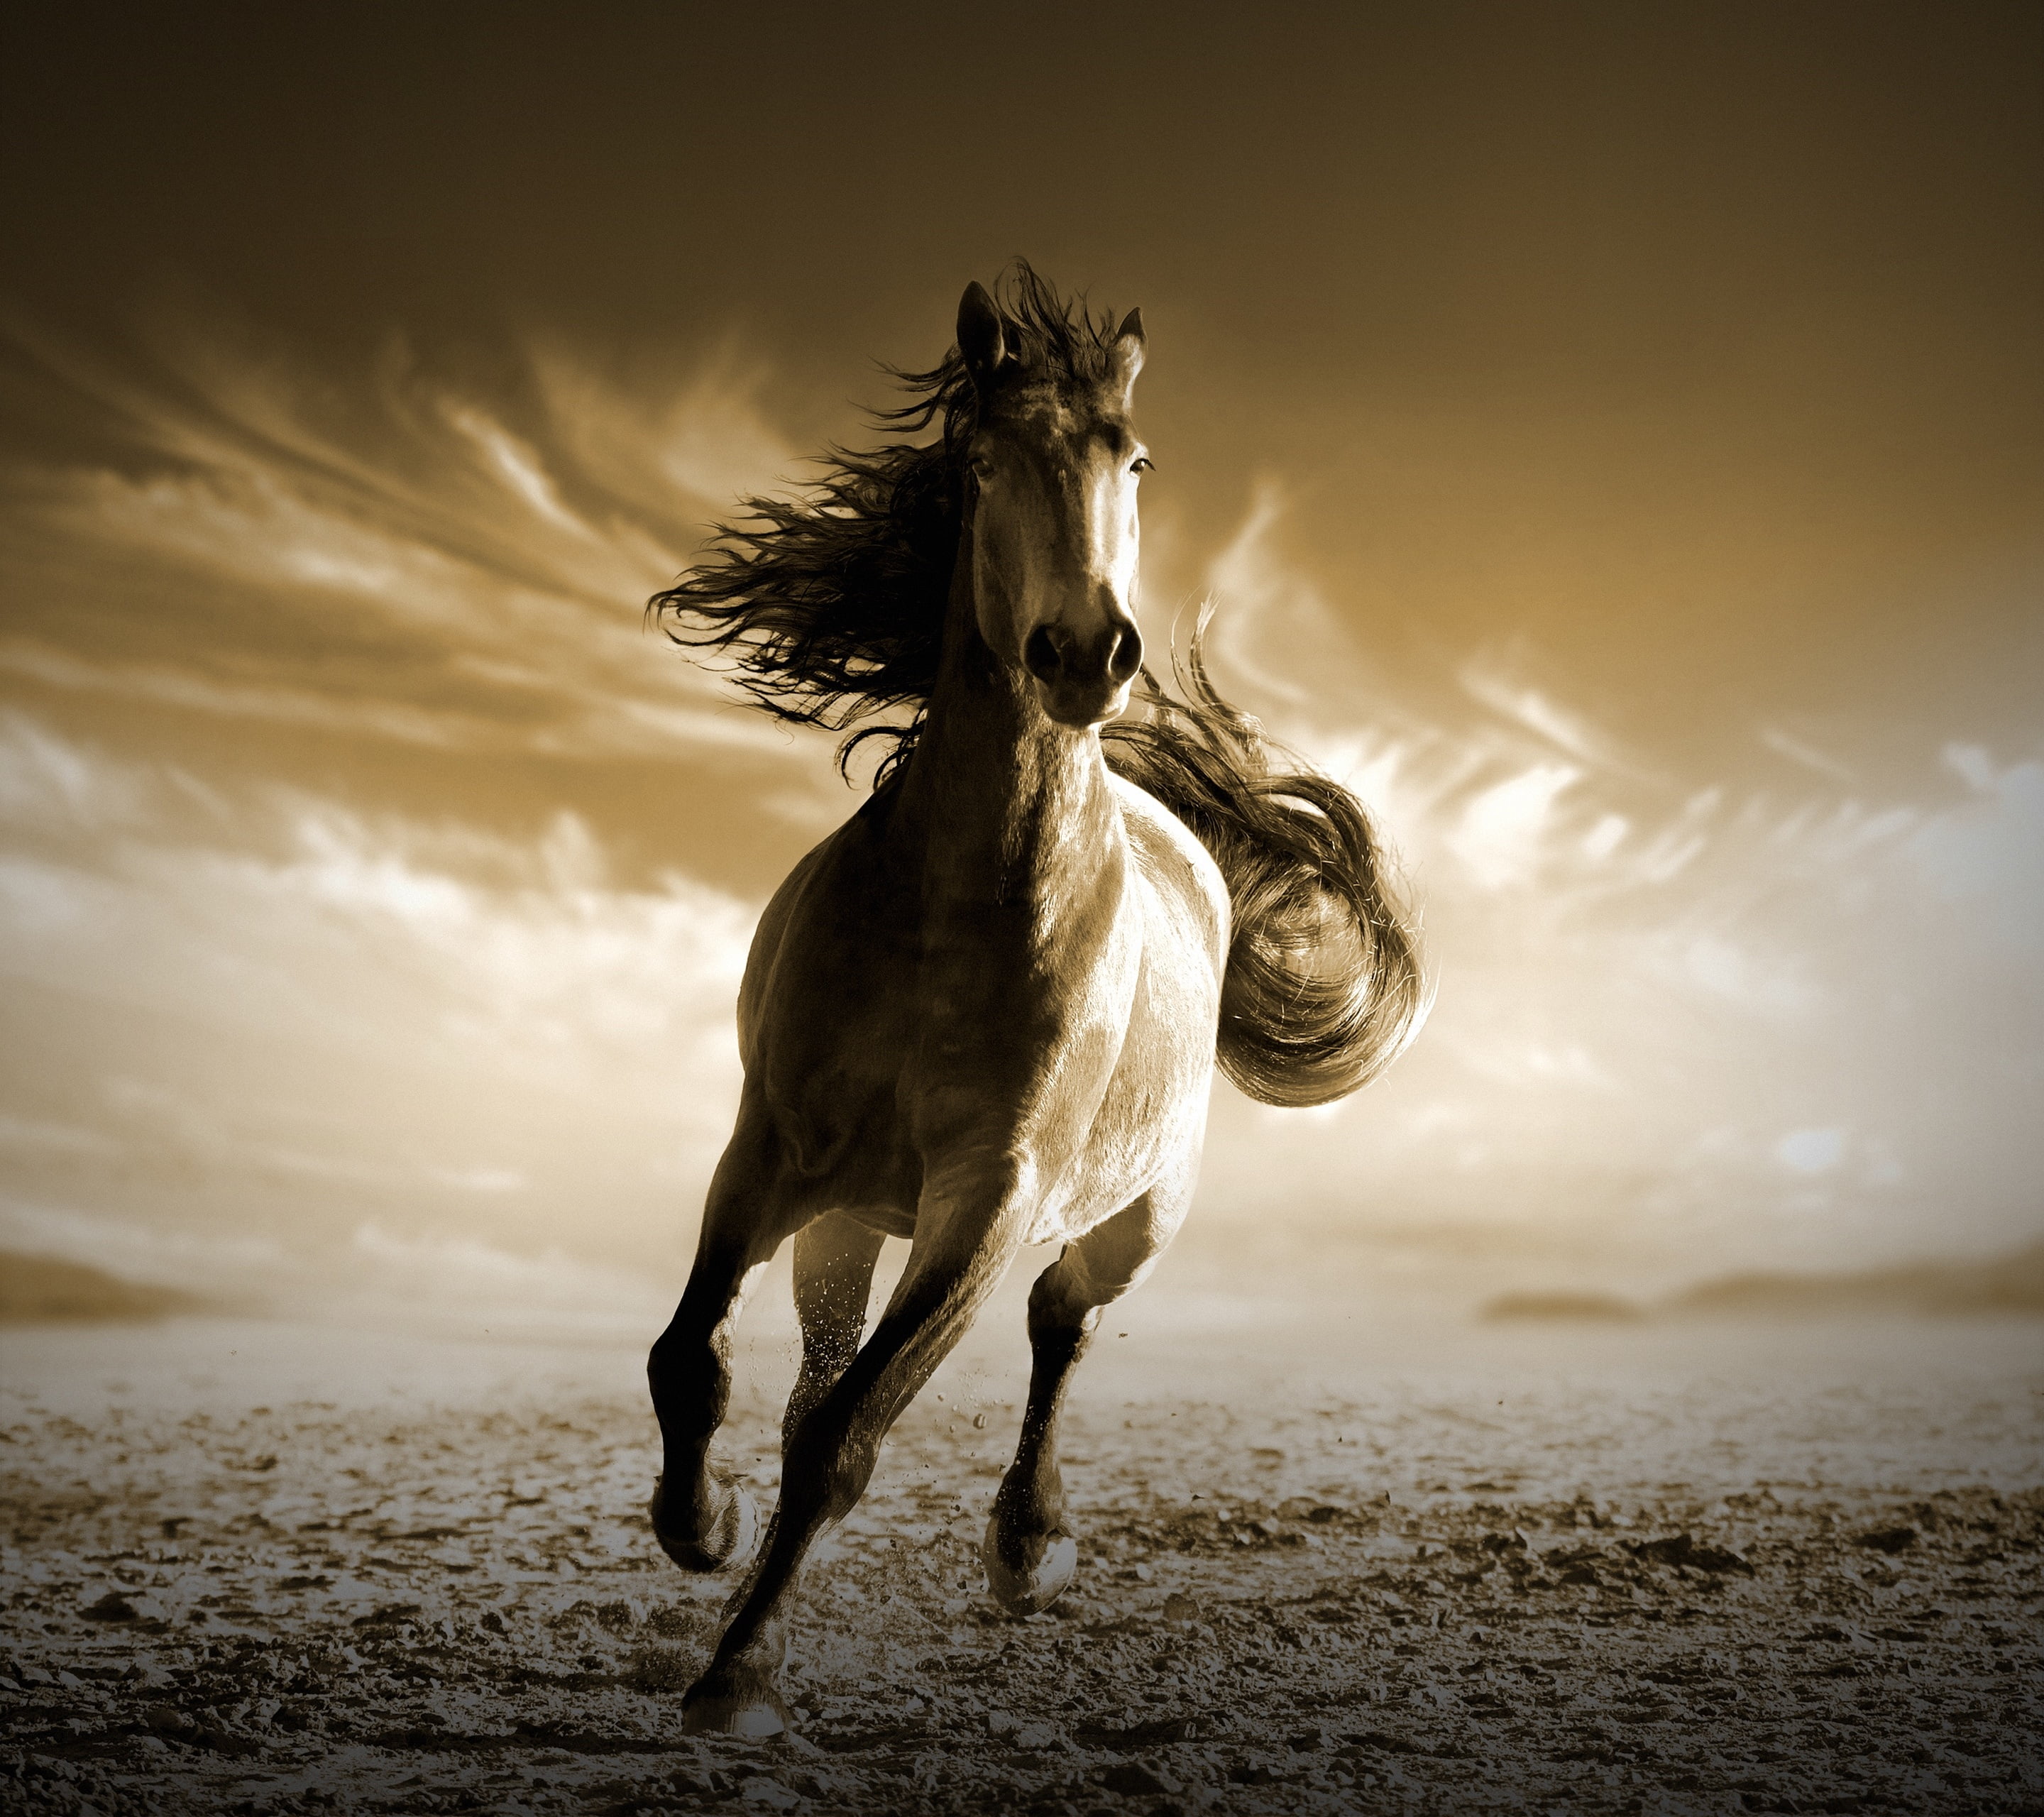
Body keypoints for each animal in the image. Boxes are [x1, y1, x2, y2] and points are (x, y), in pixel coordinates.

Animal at [646, 265, 1414, 1733]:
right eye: (984, 459)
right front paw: (700, 1525)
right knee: (821, 1351)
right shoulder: (768, 1149)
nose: (1085, 651)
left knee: (1062, 1327)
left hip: (1134, 1214)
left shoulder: (989, 1199)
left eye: (1137, 459)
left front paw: (741, 1672)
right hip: (849, 1215)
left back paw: (1028, 1544)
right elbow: (695, 1362)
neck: (955, 910)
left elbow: (847, 1441)